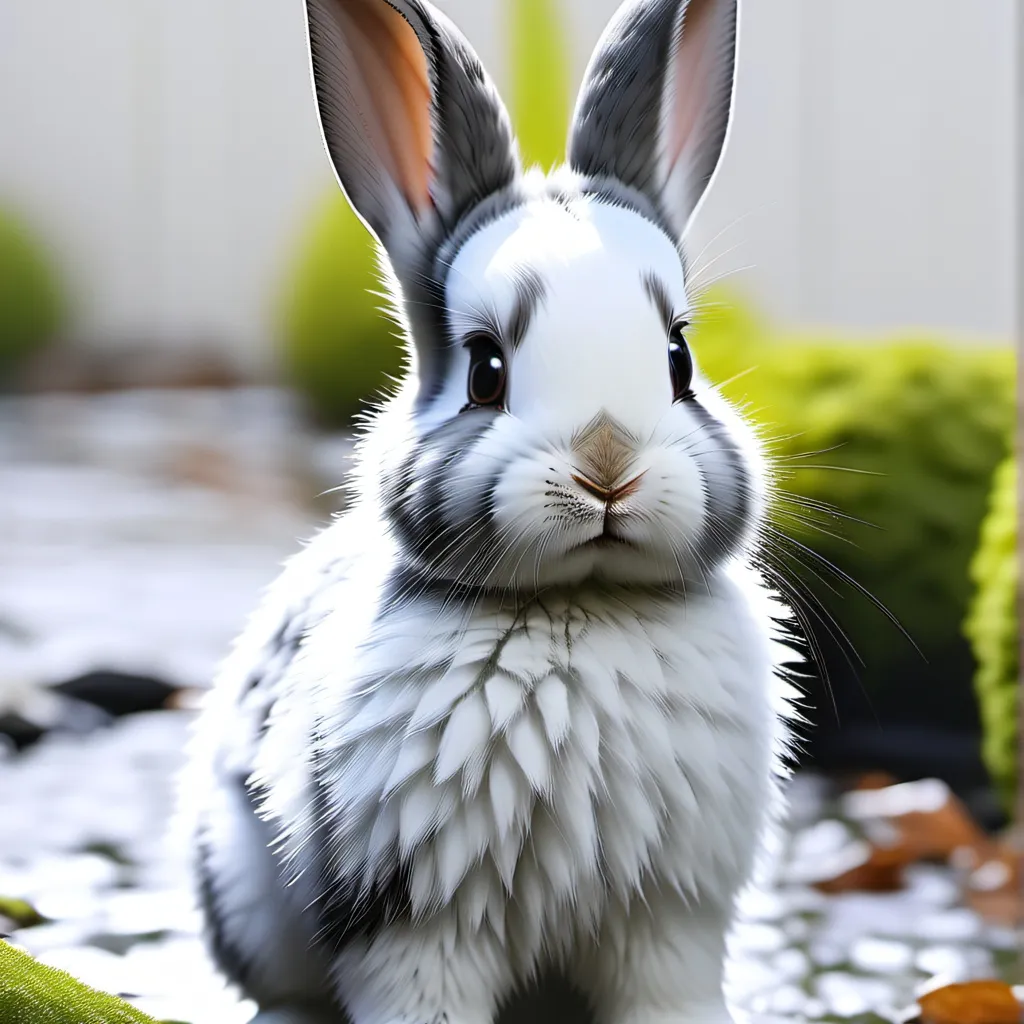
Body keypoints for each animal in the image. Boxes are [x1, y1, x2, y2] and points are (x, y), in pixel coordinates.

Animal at [183, 1, 800, 1022]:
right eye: (486, 370)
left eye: (679, 359)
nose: (607, 468)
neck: (578, 609)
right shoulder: (414, 925)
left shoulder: (667, 922)